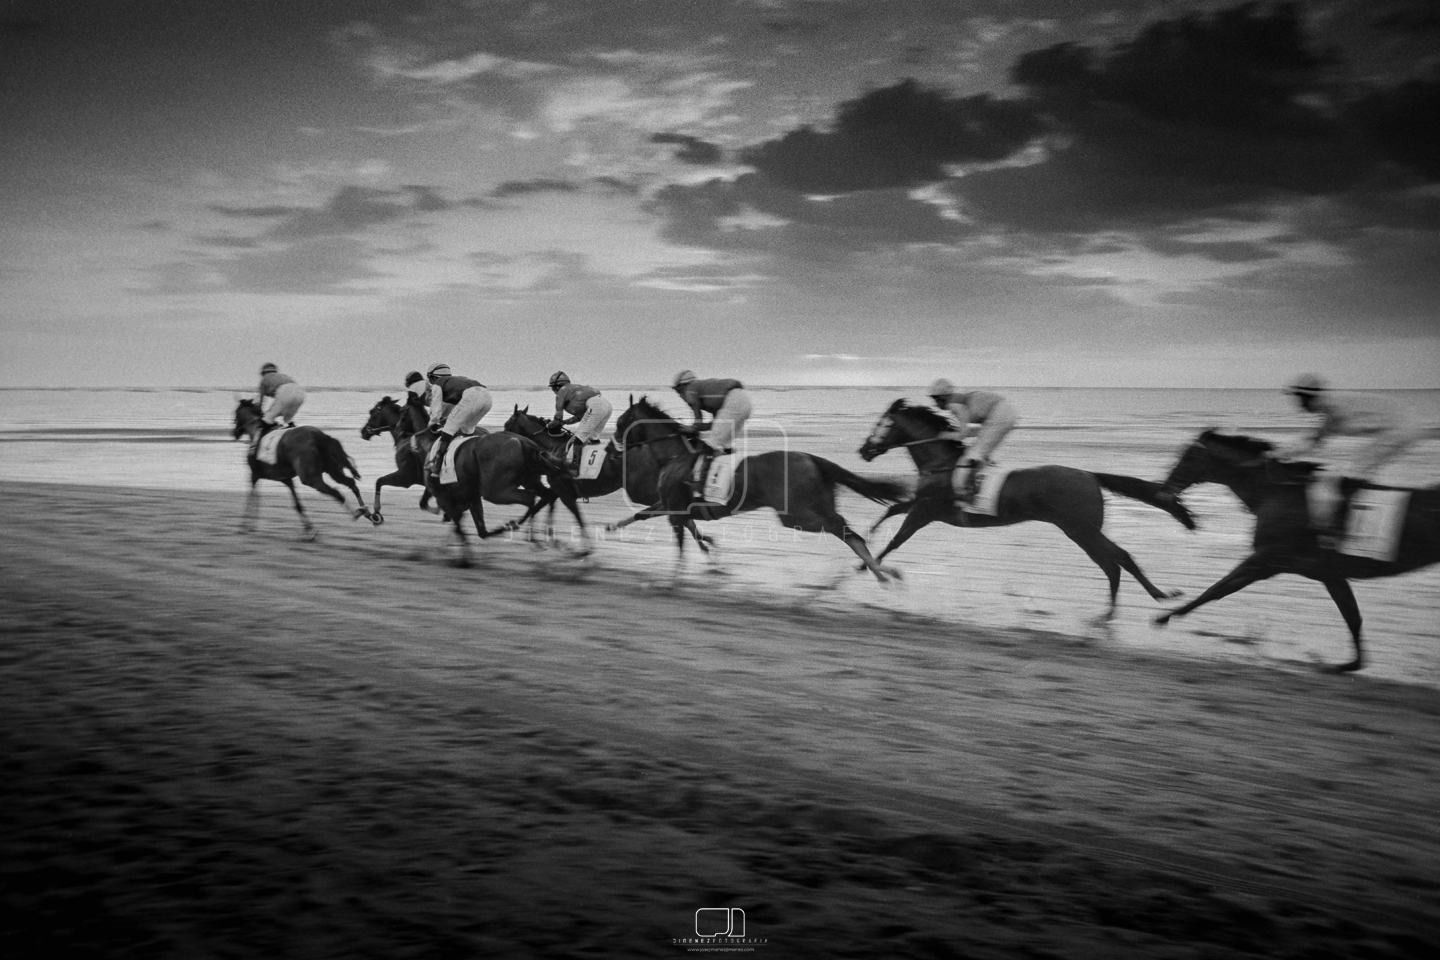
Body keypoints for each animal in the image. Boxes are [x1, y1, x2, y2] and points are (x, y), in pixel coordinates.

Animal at [230, 397, 371, 541]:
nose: (235, 433)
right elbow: (297, 505)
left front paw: (245, 526)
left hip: (310, 478)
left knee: (336, 492)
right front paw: (310, 531)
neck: (256, 430)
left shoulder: (254, 475)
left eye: (236, 413)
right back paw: (366, 511)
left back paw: (356, 513)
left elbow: (251, 498)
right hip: (333, 469)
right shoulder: (287, 479)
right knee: (350, 483)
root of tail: (320, 436)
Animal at [601, 397, 904, 581]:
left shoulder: (674, 509)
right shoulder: (672, 507)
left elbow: (681, 542)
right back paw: (882, 571)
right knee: (848, 531)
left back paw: (882, 572)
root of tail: (810, 457)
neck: (675, 456)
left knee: (845, 532)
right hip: (813, 507)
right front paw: (611, 527)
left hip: (795, 515)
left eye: (621, 422)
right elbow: (646, 516)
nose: (609, 450)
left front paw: (675, 578)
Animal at [852, 400, 1192, 618]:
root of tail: (1091, 475)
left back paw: (1153, 597)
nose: (864, 450)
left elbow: (898, 539)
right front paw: (866, 542)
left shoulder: (926, 511)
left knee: (1119, 558)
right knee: (1112, 564)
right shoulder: (922, 504)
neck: (942, 463)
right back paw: (1115, 609)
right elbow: (891, 510)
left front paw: (871, 567)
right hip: (1081, 532)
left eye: (880, 424)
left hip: (1080, 529)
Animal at [1157, 431, 1440, 673]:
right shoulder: (1326, 573)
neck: (1276, 493)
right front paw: (1352, 664)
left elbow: (1216, 588)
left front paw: (1165, 616)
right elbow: (1352, 616)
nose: (1167, 485)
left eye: (1189, 456)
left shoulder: (1266, 560)